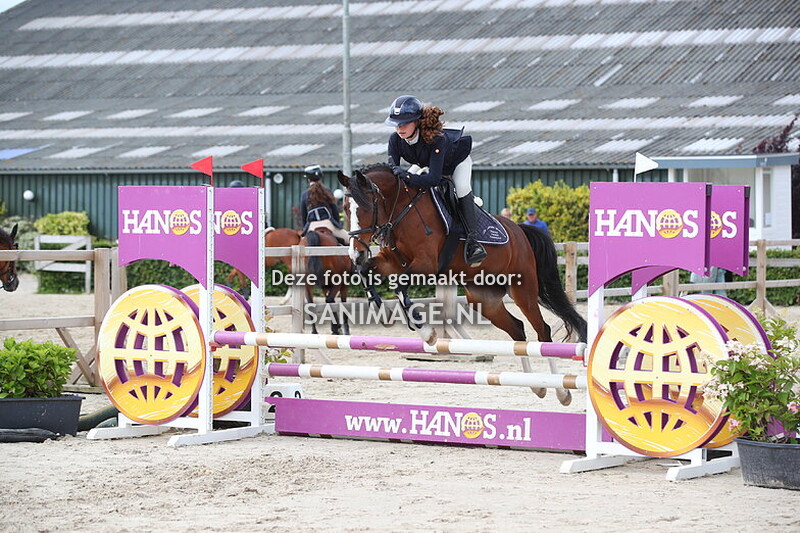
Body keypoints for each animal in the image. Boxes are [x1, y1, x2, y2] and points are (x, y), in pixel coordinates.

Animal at [337, 164, 587, 405]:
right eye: (346, 209)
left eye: (366, 207)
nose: (355, 254)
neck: (402, 210)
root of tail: (520, 231)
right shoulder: (391, 262)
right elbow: (366, 272)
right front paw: (381, 311)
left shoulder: (426, 265)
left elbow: (399, 286)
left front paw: (426, 332)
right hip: (484, 300)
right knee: (517, 330)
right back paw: (537, 386)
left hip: (522, 290)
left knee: (542, 331)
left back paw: (561, 392)